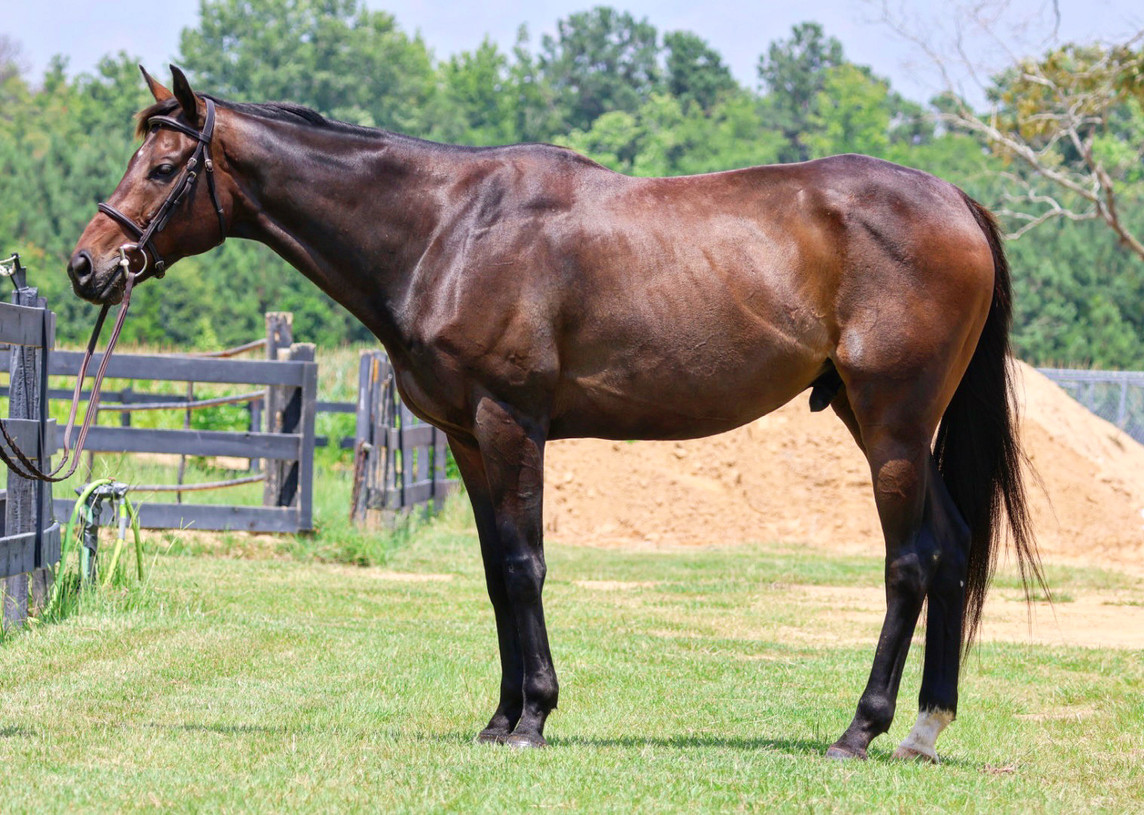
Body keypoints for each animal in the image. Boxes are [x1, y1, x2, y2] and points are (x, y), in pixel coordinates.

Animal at [68, 66, 1042, 762]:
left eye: (164, 167)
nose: (88, 265)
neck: (448, 229)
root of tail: (957, 203)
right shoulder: (467, 436)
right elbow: (497, 570)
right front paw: (501, 717)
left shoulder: (512, 423)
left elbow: (526, 565)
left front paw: (534, 716)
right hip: (883, 425)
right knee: (953, 550)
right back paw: (924, 729)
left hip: (891, 426)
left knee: (911, 562)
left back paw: (860, 730)